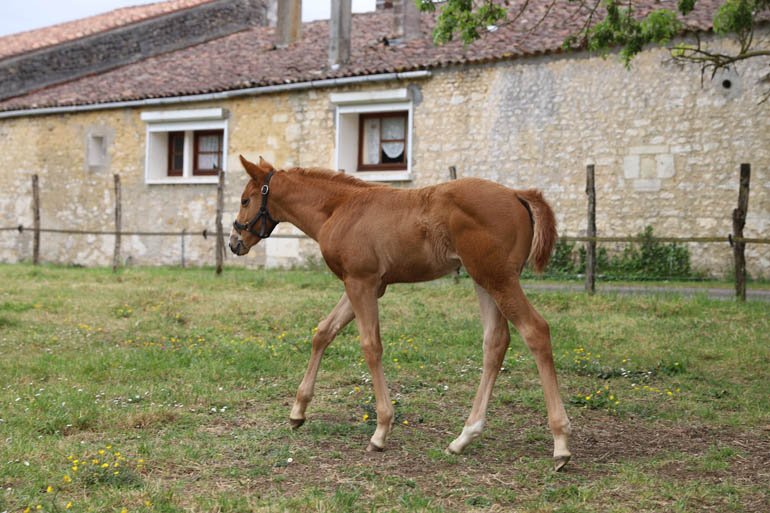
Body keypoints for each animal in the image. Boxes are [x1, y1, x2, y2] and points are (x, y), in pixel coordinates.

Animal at [230, 155, 572, 471]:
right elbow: (324, 332)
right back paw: (463, 437)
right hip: (484, 280)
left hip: (498, 279)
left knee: (535, 330)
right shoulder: (365, 284)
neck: (339, 209)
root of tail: (516, 193)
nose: (234, 243)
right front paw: (298, 412)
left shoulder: (362, 282)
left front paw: (381, 430)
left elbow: (371, 346)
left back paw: (560, 442)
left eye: (246, 200)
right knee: (496, 342)